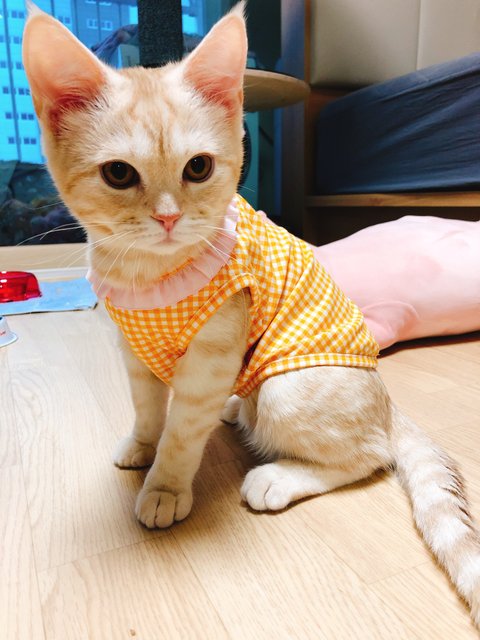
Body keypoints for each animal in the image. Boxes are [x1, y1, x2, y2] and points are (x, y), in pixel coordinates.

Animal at [23, 2, 480, 628]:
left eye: (198, 168)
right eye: (119, 174)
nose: (168, 218)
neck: (148, 276)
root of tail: (387, 403)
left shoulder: (212, 358)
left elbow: (181, 432)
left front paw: (165, 486)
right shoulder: (132, 350)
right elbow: (147, 408)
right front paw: (142, 444)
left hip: (288, 390)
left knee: (370, 455)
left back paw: (277, 476)